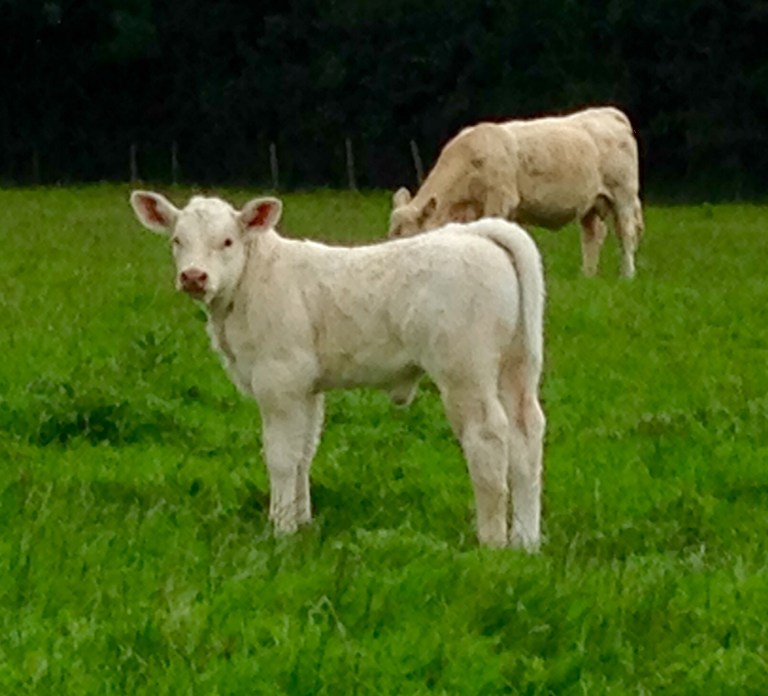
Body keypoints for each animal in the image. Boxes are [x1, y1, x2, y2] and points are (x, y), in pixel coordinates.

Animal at [129, 191, 547, 550]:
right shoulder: (306, 387)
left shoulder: (279, 381)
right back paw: (526, 541)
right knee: (526, 434)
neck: (250, 283)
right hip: (516, 366)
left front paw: (280, 529)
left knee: (488, 437)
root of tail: (476, 233)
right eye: (177, 240)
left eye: (228, 241)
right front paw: (302, 523)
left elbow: (281, 456)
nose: (193, 277)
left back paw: (491, 541)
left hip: (465, 372)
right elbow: (304, 452)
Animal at [389, 106, 644, 278]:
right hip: (590, 203)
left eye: (408, 236)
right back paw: (587, 276)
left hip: (624, 195)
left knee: (626, 234)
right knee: (593, 235)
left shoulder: (500, 200)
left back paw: (627, 276)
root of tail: (609, 112)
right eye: (392, 235)